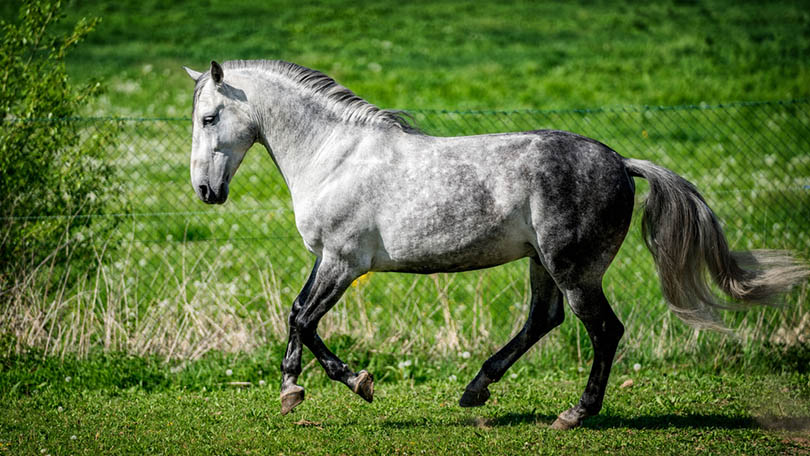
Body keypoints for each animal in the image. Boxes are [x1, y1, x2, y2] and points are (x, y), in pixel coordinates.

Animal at [185, 59, 808, 428]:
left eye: (210, 117)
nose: (205, 191)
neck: (335, 155)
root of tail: (620, 161)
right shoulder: (329, 260)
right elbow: (298, 314)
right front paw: (298, 389)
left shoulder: (342, 259)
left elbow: (302, 318)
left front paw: (338, 385)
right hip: (543, 265)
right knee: (543, 320)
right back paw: (476, 390)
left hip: (573, 269)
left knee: (603, 330)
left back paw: (574, 414)